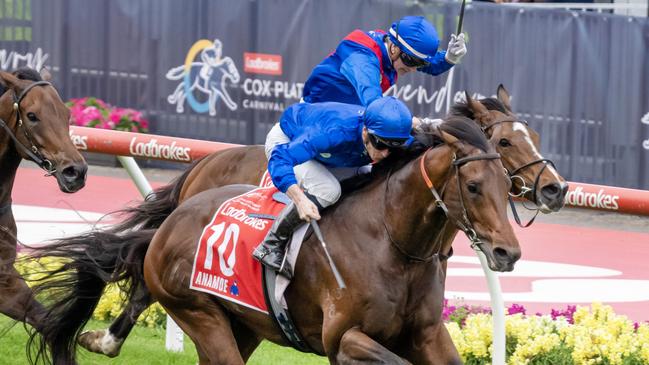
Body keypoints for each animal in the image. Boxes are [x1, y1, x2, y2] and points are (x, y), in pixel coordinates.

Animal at [73, 83, 564, 356]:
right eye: (475, 185)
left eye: (504, 182)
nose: (555, 189)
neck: (395, 244)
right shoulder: (343, 339)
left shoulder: (428, 336)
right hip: (201, 312)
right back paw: (106, 340)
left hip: (243, 324)